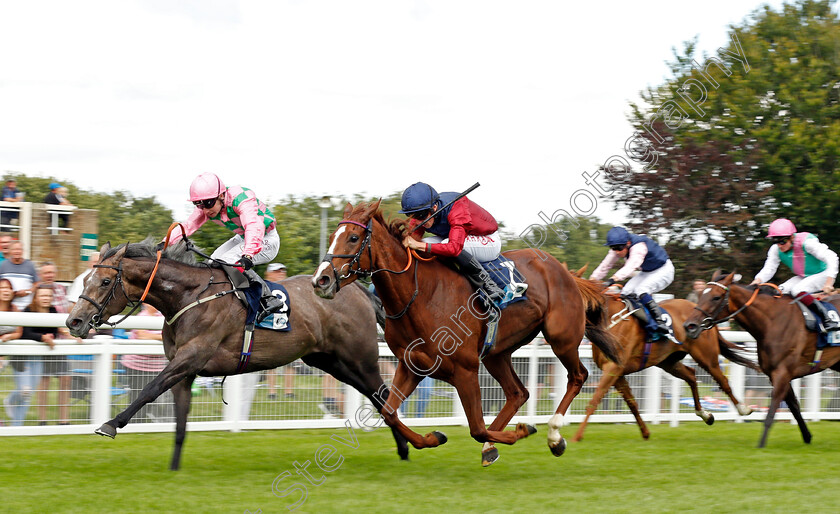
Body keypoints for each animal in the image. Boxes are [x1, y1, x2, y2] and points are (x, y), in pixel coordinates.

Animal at [65, 240, 406, 468]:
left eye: (105, 281)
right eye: (86, 280)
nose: (74, 321)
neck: (188, 297)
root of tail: (355, 288)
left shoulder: (190, 358)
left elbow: (149, 388)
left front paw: (110, 424)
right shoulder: (184, 372)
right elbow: (179, 423)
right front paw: (173, 470)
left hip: (359, 358)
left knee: (383, 393)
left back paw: (406, 445)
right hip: (331, 361)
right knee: (376, 395)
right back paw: (404, 447)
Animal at [312, 201, 620, 464]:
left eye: (353, 238)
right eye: (332, 236)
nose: (320, 280)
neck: (419, 296)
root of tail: (565, 272)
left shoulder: (465, 370)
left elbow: (477, 428)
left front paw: (522, 431)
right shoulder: (412, 366)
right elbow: (389, 412)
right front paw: (433, 437)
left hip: (561, 338)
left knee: (577, 376)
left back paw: (554, 436)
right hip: (497, 353)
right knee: (518, 393)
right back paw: (493, 447)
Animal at [572, 288, 756, 440]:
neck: (608, 319)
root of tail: (705, 316)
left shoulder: (614, 367)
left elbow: (595, 399)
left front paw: (577, 436)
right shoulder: (617, 372)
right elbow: (631, 402)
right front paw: (645, 432)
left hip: (707, 358)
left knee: (723, 381)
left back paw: (743, 409)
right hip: (668, 362)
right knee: (691, 375)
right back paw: (704, 414)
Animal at [684, 272, 840, 444]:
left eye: (716, 297)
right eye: (701, 295)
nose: (689, 326)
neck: (773, 321)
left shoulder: (782, 373)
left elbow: (772, 409)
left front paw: (761, 444)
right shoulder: (775, 374)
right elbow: (793, 405)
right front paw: (807, 437)